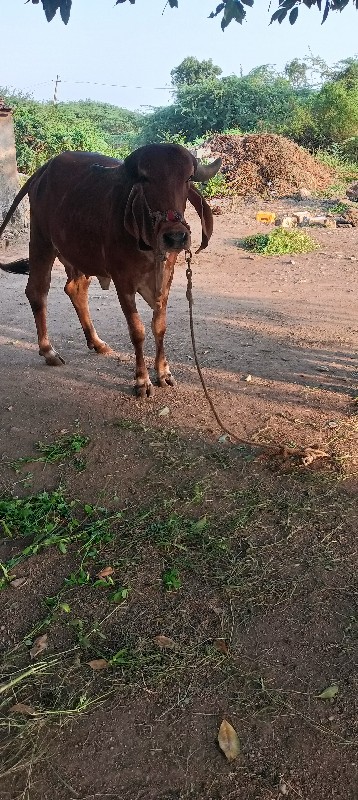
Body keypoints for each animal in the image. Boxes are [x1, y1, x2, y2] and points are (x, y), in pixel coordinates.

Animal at [0, 144, 221, 396]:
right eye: (145, 179)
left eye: (187, 178)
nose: (175, 237)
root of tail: (43, 171)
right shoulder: (122, 280)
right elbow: (137, 330)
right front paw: (142, 380)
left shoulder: (167, 276)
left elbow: (159, 326)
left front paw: (164, 373)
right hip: (41, 241)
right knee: (37, 291)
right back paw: (48, 351)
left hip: (77, 253)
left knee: (75, 289)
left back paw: (96, 342)